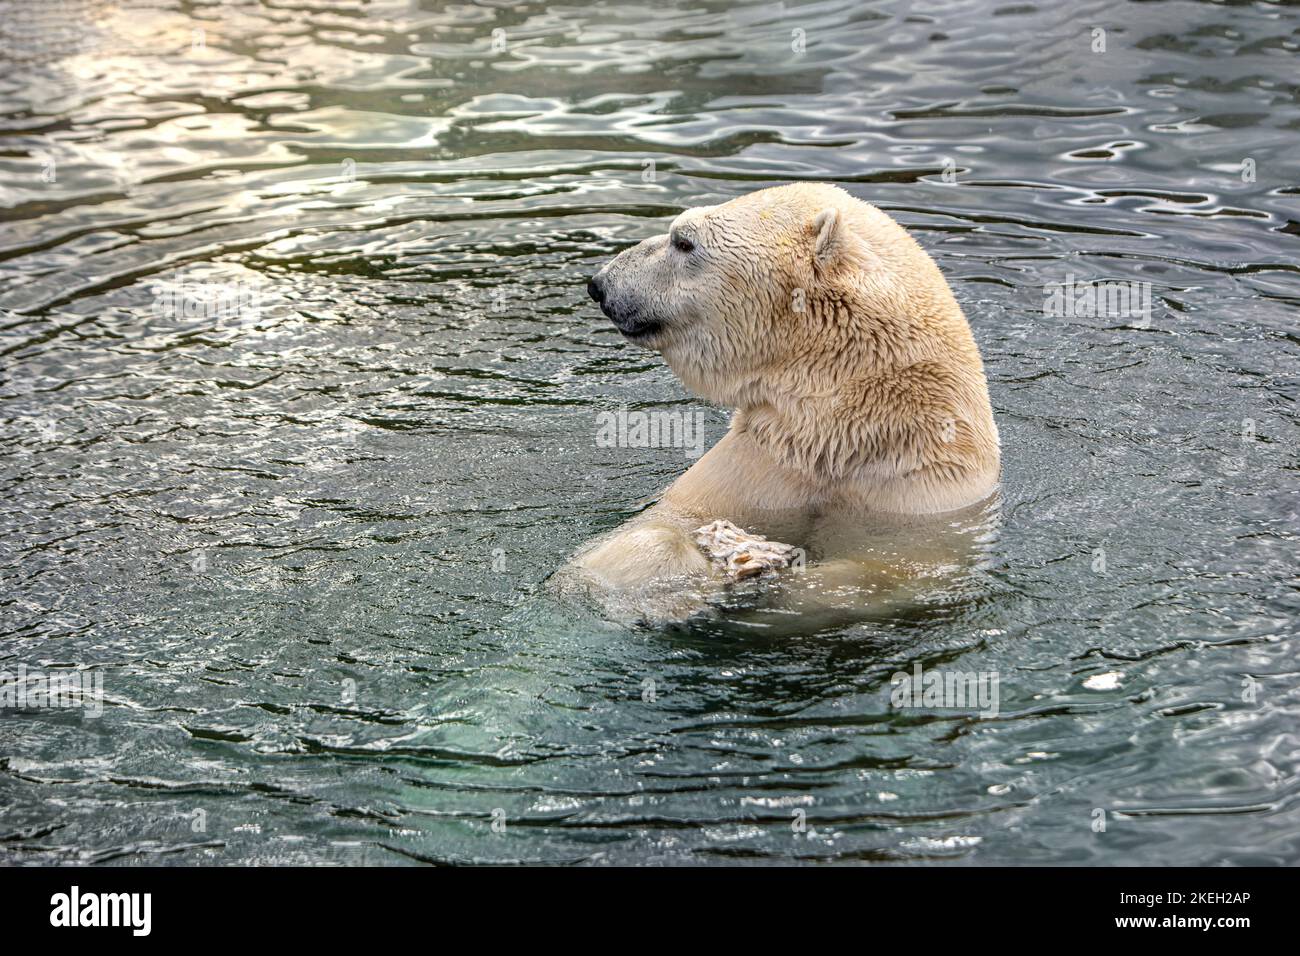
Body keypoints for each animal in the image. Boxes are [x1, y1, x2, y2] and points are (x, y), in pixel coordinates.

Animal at [567, 182, 1000, 622]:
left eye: (683, 241)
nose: (599, 284)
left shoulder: (922, 499)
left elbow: (889, 574)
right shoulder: (764, 460)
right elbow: (642, 534)